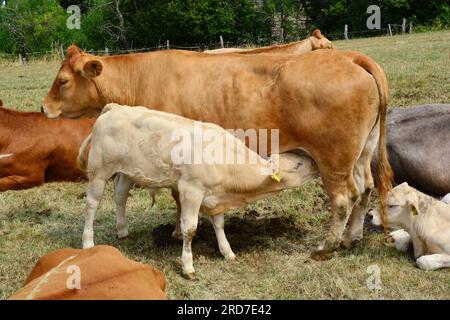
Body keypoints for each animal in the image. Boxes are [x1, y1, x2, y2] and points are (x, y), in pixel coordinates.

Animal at [43, 45, 394, 258]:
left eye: (62, 81)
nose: (44, 108)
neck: (140, 80)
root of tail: (348, 57)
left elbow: (178, 199)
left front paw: (176, 231)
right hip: (362, 154)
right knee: (365, 189)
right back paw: (352, 237)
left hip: (333, 160)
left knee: (343, 198)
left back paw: (327, 244)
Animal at [78, 104, 320, 278]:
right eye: (297, 165)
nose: (316, 164)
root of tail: (115, 107)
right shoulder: (191, 190)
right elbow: (190, 229)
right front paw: (188, 266)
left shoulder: (215, 195)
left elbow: (219, 224)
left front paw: (227, 251)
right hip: (99, 171)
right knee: (91, 205)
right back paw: (88, 242)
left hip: (128, 172)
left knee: (120, 196)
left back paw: (122, 230)